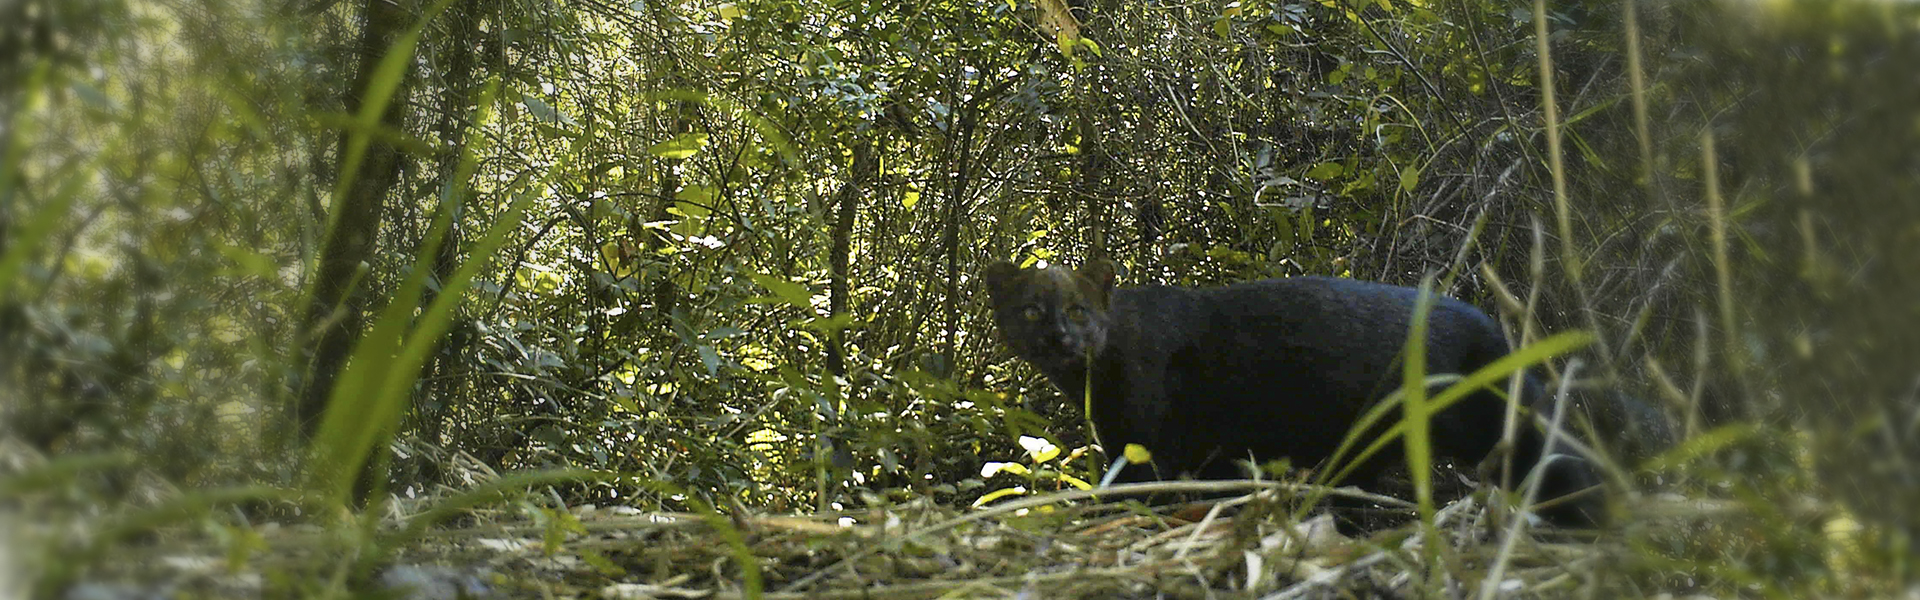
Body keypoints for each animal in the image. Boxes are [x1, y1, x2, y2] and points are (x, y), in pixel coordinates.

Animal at [983, 257, 1597, 523]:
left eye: (1077, 310)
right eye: (1032, 310)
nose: (1059, 336)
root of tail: (1488, 326)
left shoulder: (1144, 442)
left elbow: (1135, 494)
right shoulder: (1205, 449)